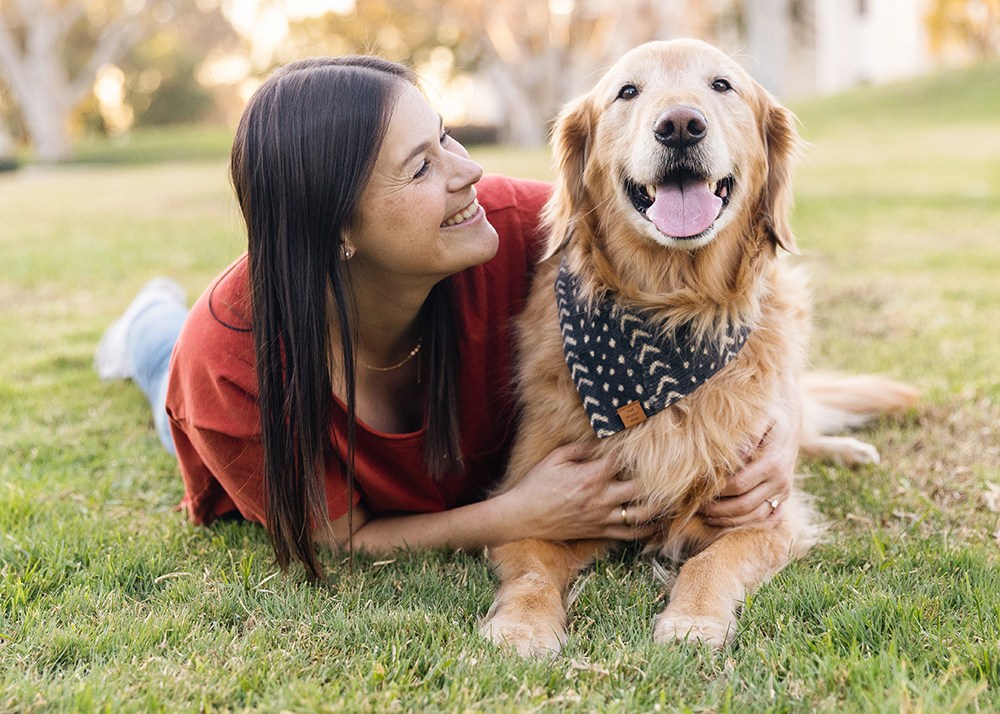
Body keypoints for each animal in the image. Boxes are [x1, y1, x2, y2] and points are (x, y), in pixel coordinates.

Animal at [480, 36, 916, 652]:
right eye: (628, 91)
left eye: (721, 85)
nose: (681, 125)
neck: (675, 313)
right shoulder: (526, 504)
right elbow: (533, 573)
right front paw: (522, 627)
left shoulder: (764, 514)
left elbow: (712, 563)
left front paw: (692, 620)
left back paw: (849, 450)